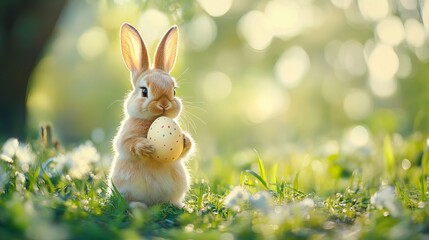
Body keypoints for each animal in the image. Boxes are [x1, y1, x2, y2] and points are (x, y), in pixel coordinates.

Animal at [108, 22, 194, 209]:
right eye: (144, 91)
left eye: (174, 91)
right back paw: (138, 207)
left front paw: (185, 139)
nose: (164, 104)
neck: (152, 121)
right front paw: (146, 147)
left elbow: (183, 151)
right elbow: (127, 144)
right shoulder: (125, 136)